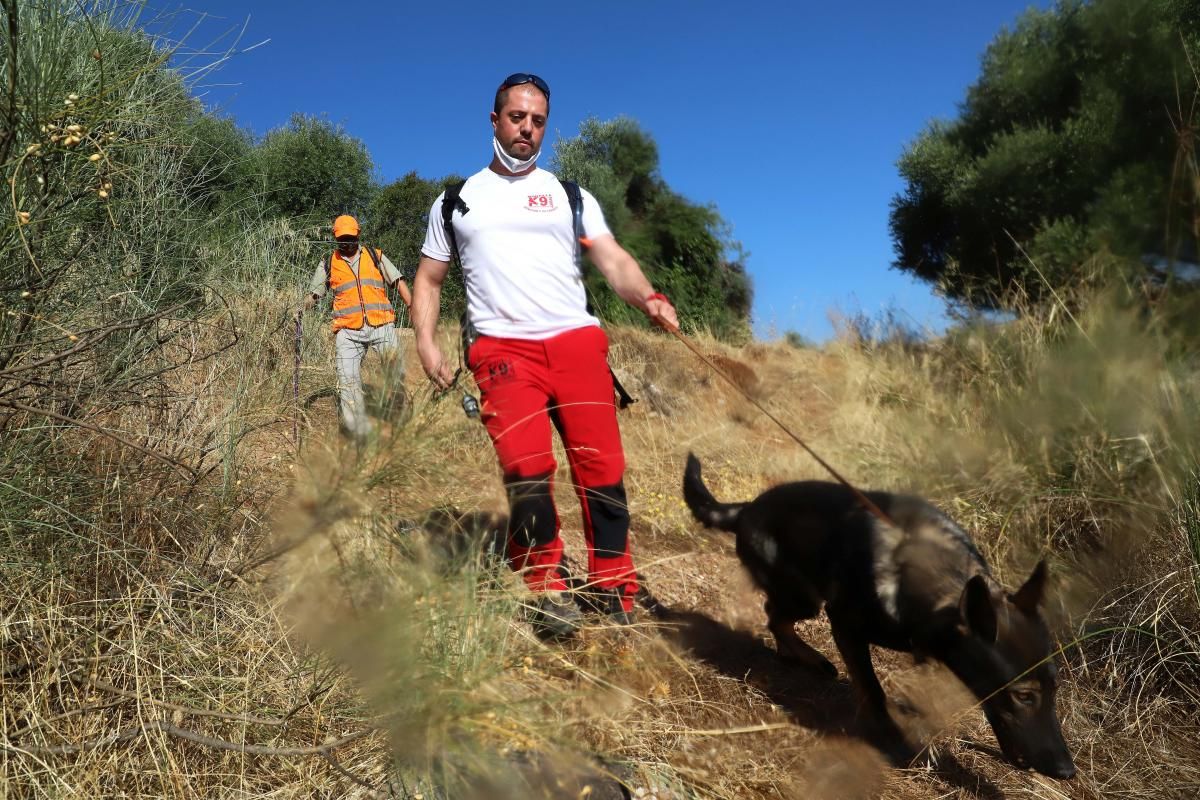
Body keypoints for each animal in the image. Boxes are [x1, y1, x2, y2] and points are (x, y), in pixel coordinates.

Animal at [686, 453, 1080, 777]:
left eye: (1054, 689)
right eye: (1024, 696)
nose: (1067, 771)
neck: (940, 590)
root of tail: (746, 508)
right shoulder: (846, 627)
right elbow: (873, 691)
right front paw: (892, 739)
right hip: (804, 597)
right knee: (774, 614)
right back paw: (805, 655)